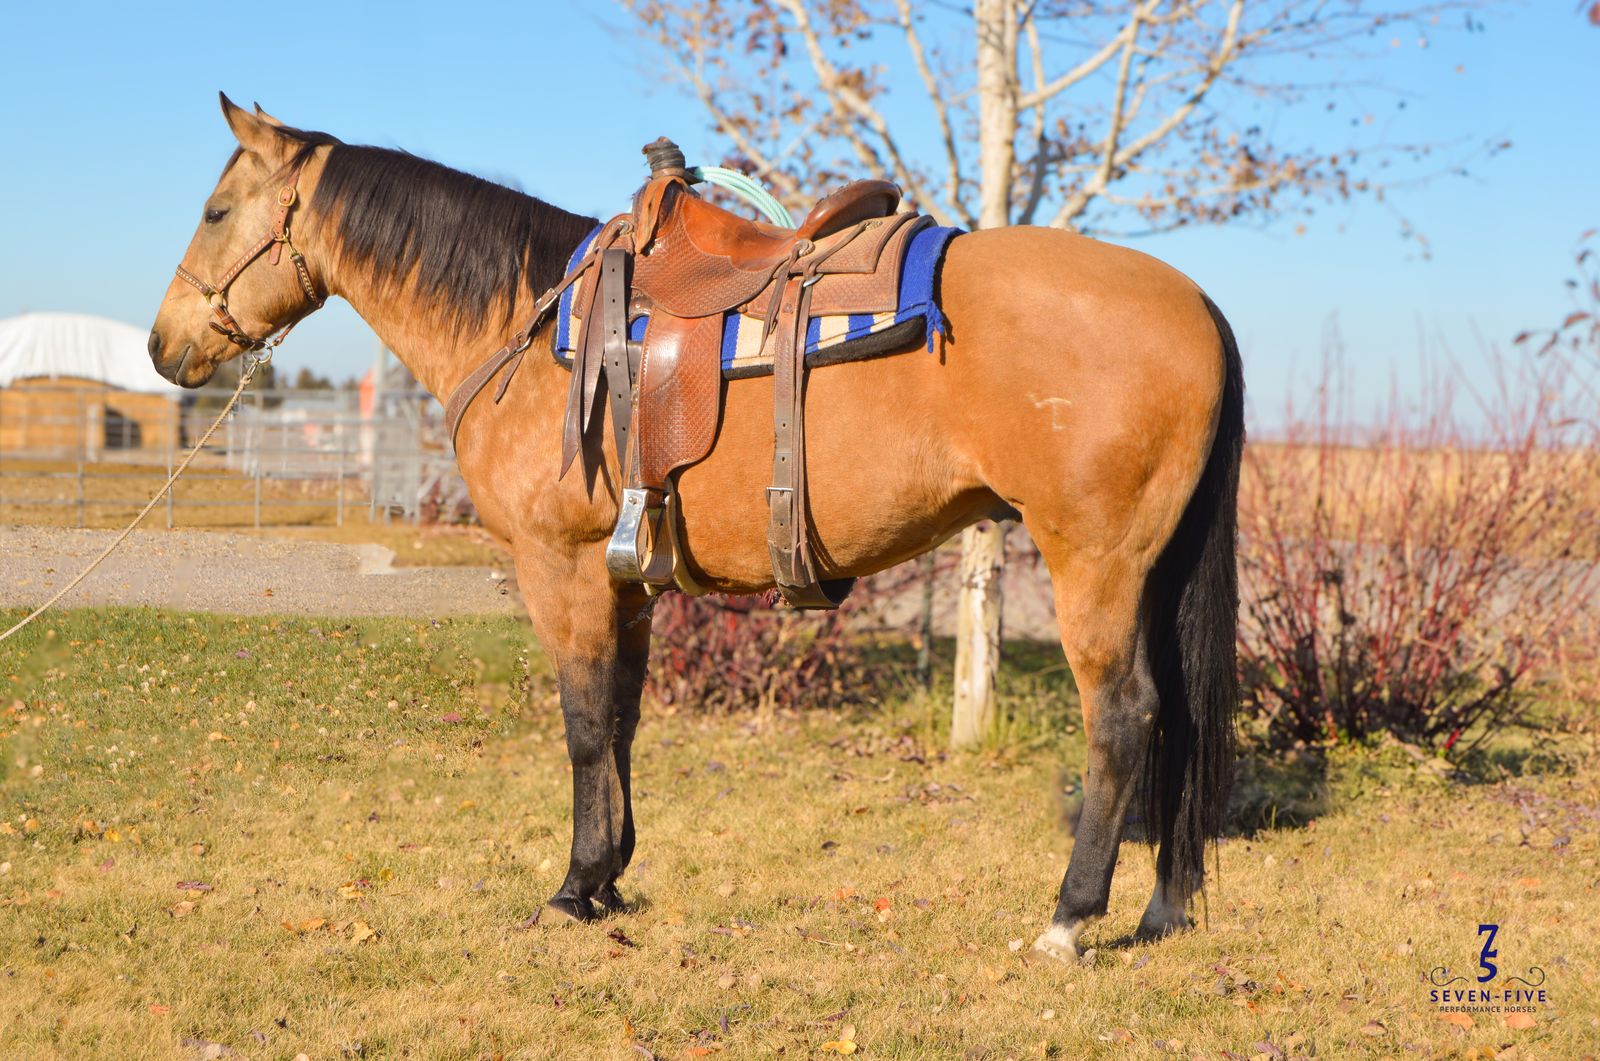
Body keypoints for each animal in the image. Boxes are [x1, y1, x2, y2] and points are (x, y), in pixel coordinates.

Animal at [148, 94, 1243, 962]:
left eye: (214, 210)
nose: (165, 346)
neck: (522, 323)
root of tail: (1197, 302)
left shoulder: (562, 568)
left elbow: (584, 722)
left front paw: (572, 886)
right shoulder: (626, 581)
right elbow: (623, 718)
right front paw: (610, 878)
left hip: (1093, 561)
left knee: (1124, 716)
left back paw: (1070, 917)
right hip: (1153, 568)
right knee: (1181, 716)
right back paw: (1161, 907)